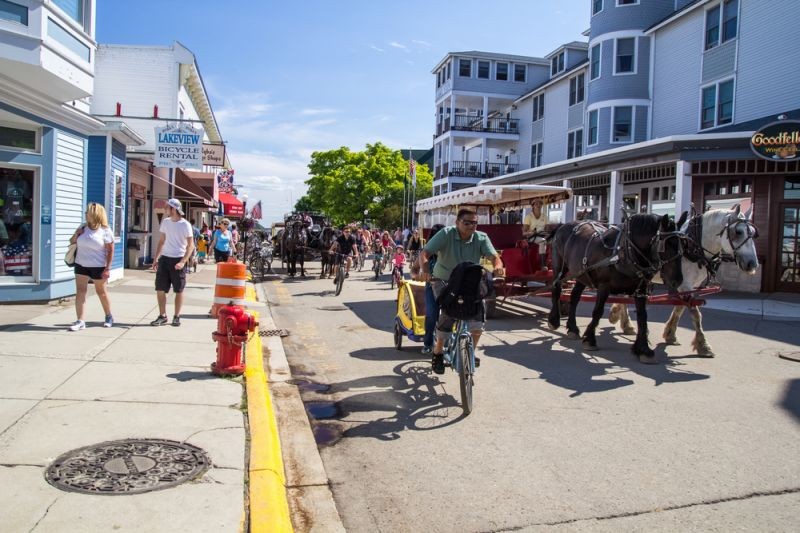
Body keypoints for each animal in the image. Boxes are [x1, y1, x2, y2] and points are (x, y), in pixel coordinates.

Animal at [552, 213, 688, 366]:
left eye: (683, 244)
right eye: (665, 244)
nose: (678, 280)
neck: (624, 252)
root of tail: (563, 225)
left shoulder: (641, 289)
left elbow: (642, 317)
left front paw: (644, 349)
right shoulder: (604, 286)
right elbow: (598, 312)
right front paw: (590, 339)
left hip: (581, 274)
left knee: (574, 297)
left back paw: (573, 328)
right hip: (560, 266)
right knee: (556, 288)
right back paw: (554, 320)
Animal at [608, 206, 760, 356]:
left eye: (753, 233)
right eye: (738, 232)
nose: (752, 264)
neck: (693, 246)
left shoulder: (688, 285)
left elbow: (680, 307)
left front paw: (670, 334)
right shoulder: (684, 284)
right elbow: (695, 313)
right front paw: (703, 344)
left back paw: (623, 322)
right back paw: (623, 321)